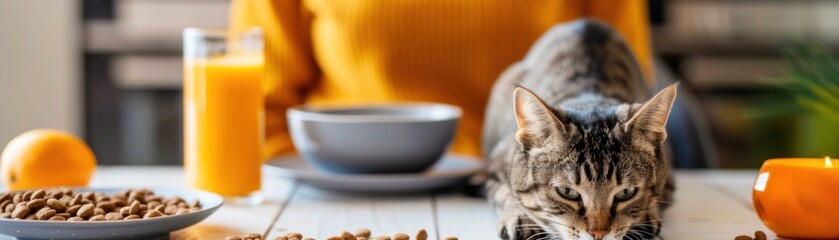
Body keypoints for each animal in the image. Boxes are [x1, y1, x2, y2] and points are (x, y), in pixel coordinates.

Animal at [486, 19, 676, 240]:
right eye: (567, 192)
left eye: (626, 192)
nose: (598, 233)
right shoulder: (495, 168)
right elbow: (506, 193)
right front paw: (519, 216)